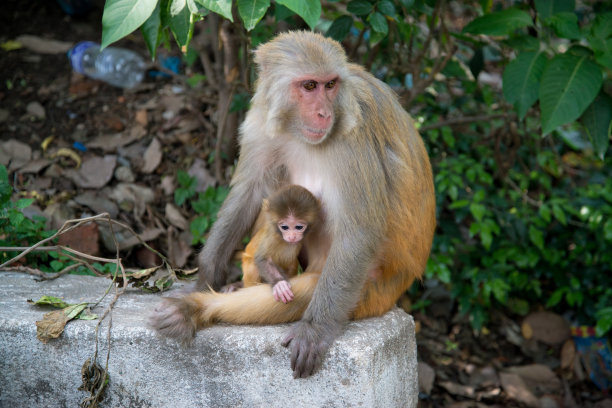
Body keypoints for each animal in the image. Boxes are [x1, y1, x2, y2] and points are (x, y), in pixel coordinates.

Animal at [151, 31, 438, 380]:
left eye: (331, 85)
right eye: (310, 86)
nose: (324, 114)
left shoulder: (354, 137)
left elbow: (360, 231)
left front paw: (314, 330)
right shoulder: (261, 118)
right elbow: (250, 191)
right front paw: (206, 275)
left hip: (372, 289)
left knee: (307, 285)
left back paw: (196, 309)